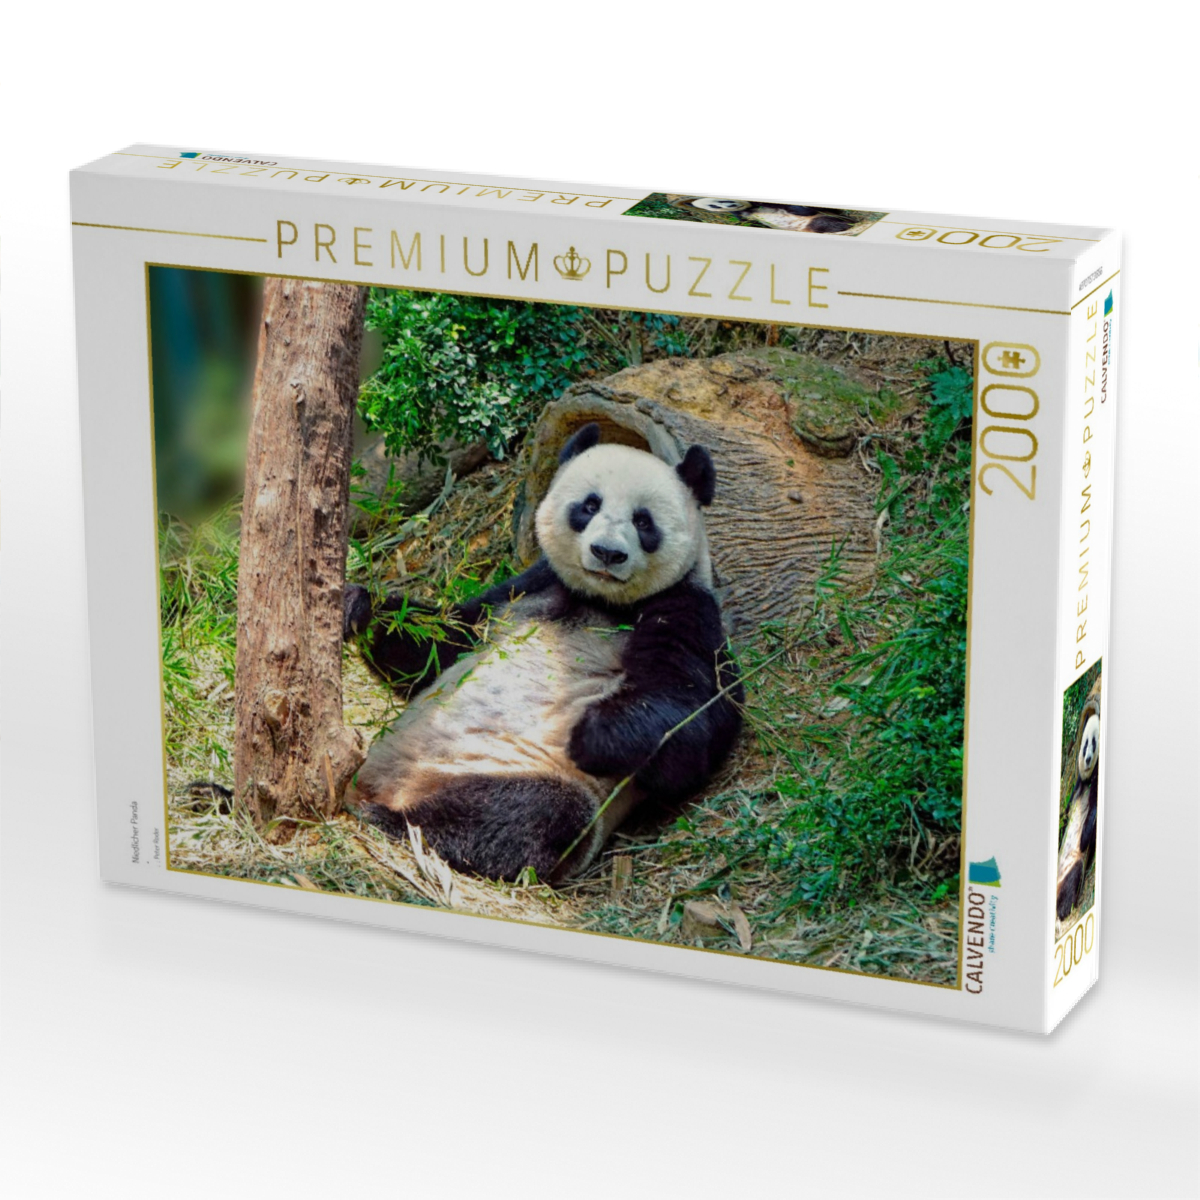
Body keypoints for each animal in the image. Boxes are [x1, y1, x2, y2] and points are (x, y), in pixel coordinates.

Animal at [342, 423, 744, 883]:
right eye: (590, 505)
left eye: (643, 521)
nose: (608, 553)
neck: (600, 600)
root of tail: (394, 787)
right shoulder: (526, 588)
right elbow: (440, 644)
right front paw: (358, 606)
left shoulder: (686, 609)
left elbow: (694, 722)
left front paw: (593, 735)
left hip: (515, 772)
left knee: (528, 813)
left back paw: (395, 822)